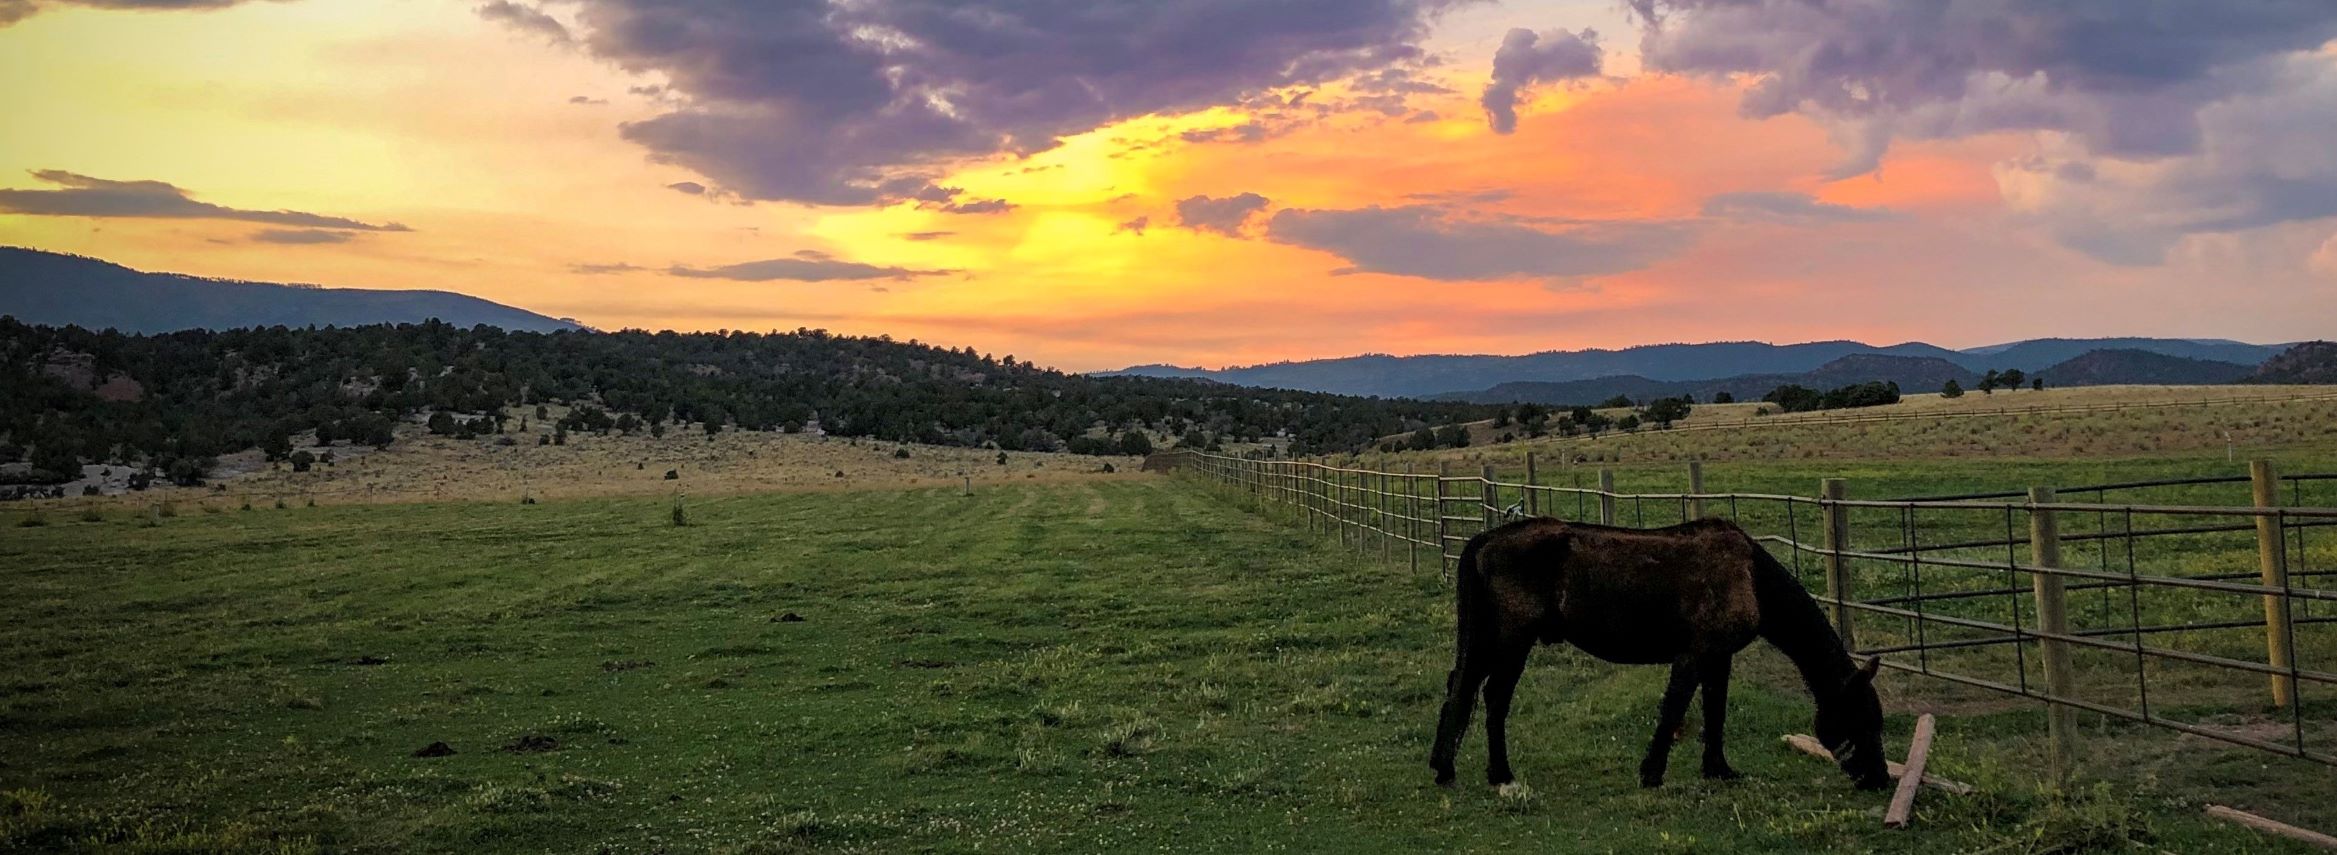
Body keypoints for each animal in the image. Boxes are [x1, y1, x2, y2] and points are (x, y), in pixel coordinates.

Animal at [1420, 513, 1897, 789]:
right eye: (1860, 717)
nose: (1877, 778)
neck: (1750, 577)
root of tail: (1486, 539)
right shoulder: (1694, 655)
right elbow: (1674, 710)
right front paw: (1652, 772)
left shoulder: (1718, 658)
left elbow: (1715, 712)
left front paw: (1718, 769)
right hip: (1512, 640)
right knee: (1494, 698)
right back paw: (1500, 775)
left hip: (1488, 640)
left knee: (1461, 691)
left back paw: (1446, 767)